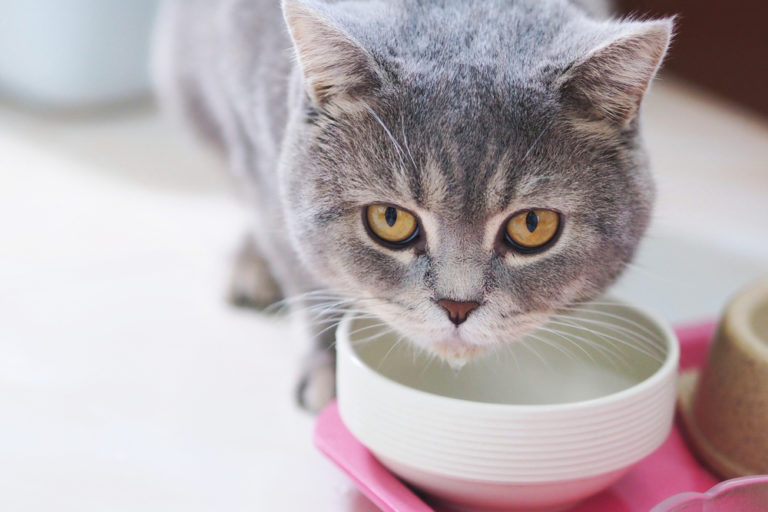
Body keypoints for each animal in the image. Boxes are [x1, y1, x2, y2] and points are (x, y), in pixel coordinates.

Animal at [154, 0, 672, 410]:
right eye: (390, 219)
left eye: (532, 224)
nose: (457, 306)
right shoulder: (260, 168)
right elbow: (307, 279)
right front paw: (329, 370)